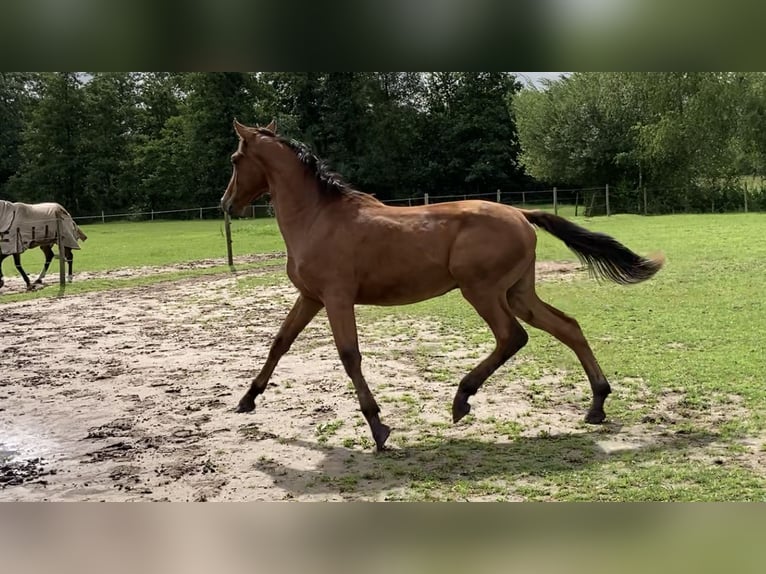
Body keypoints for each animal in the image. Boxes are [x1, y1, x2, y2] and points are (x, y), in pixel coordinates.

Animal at [219, 122, 664, 454]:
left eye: (235, 159)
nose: (226, 204)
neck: (318, 218)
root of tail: (520, 213)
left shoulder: (336, 299)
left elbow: (349, 357)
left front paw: (379, 428)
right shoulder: (310, 297)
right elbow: (280, 342)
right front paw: (247, 399)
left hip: (482, 291)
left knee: (512, 337)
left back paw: (462, 398)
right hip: (518, 293)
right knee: (568, 327)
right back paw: (597, 405)